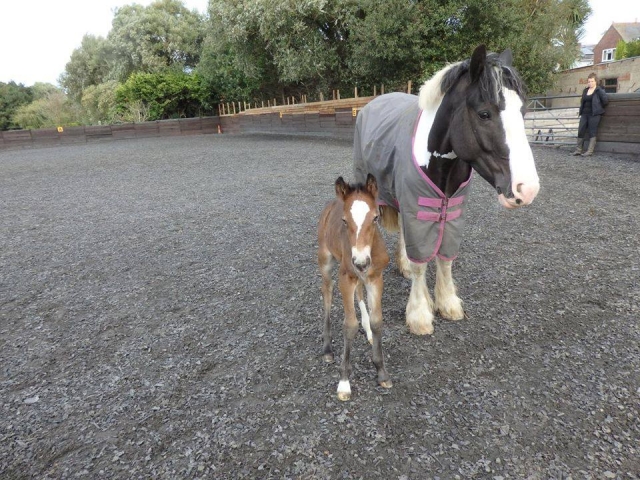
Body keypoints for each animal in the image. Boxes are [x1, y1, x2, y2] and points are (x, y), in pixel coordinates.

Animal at [317, 174, 392, 401]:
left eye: (375, 218)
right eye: (344, 221)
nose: (360, 261)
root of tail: (333, 202)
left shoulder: (375, 277)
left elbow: (377, 322)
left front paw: (381, 371)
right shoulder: (346, 278)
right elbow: (349, 325)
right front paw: (344, 382)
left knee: (359, 291)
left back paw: (366, 330)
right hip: (326, 261)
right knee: (327, 291)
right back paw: (327, 349)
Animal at [353, 44, 540, 336]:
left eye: (522, 112)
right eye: (484, 114)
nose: (528, 189)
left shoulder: (448, 211)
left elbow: (445, 259)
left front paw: (446, 302)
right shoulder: (419, 211)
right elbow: (421, 264)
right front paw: (420, 313)